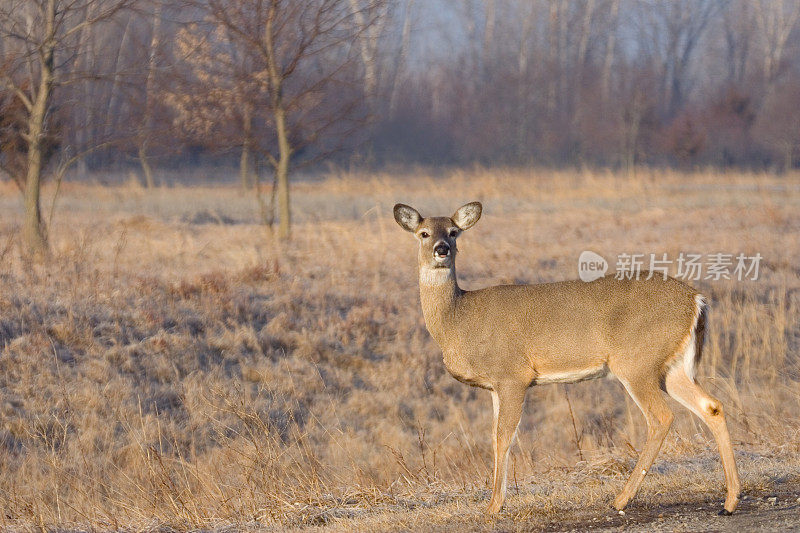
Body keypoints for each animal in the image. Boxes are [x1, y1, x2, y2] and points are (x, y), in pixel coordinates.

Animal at [396, 201, 740, 516]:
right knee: (711, 406)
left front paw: (494, 506)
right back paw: (730, 500)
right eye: (424, 233)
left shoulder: (512, 374)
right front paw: (495, 501)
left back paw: (621, 499)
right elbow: (495, 437)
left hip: (636, 361)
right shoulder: (495, 386)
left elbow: (504, 437)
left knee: (661, 417)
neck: (457, 320)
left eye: (454, 232)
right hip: (671, 366)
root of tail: (696, 299)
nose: (442, 249)